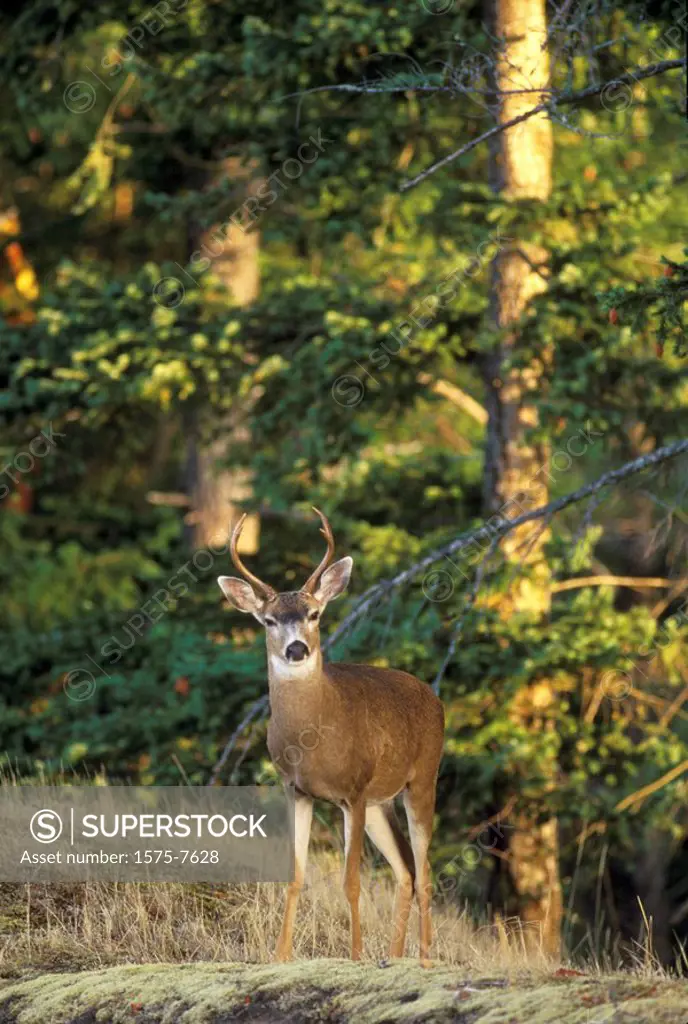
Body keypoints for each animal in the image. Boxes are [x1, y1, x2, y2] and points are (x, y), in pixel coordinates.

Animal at [216, 507, 446, 962]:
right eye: (269, 620)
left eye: (314, 614)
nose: (297, 649)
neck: (312, 738)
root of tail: (434, 697)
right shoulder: (297, 790)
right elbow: (294, 875)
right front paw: (281, 956)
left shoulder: (352, 791)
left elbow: (350, 881)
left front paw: (354, 955)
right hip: (380, 803)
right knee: (406, 870)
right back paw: (394, 955)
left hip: (422, 780)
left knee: (426, 870)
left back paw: (425, 958)